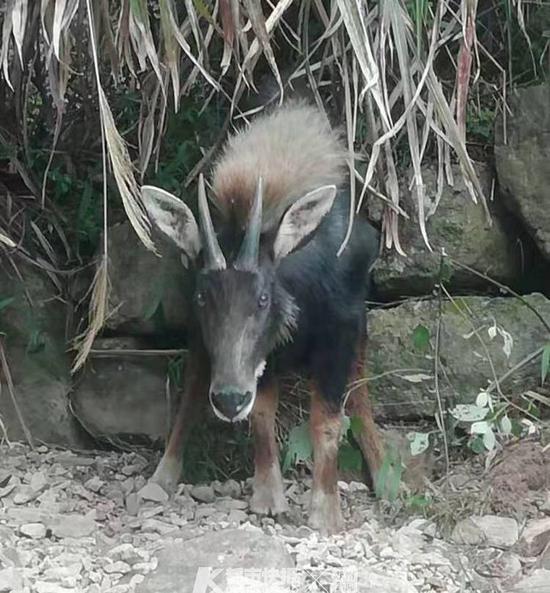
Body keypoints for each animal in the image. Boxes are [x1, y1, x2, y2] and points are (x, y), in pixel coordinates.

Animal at [140, 100, 386, 532]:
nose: (229, 399)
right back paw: (162, 477)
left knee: (359, 391)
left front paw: (326, 512)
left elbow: (328, 419)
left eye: (263, 298)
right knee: (191, 392)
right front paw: (268, 497)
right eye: (202, 295)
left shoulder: (341, 332)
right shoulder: (250, 355)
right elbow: (259, 412)